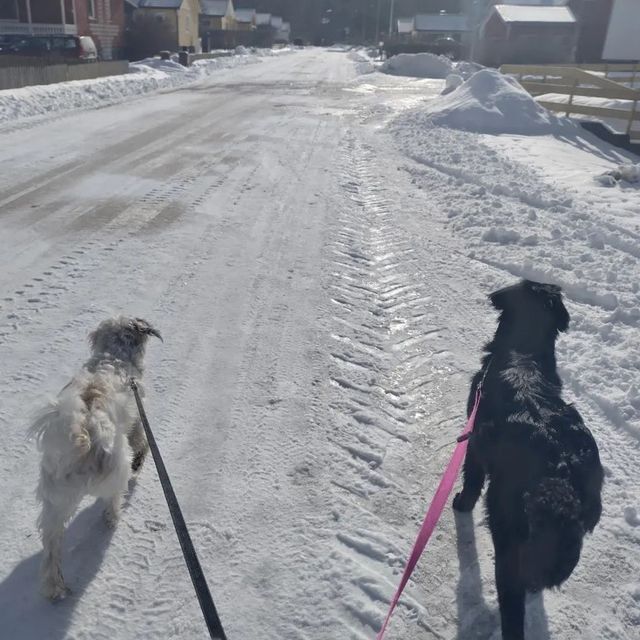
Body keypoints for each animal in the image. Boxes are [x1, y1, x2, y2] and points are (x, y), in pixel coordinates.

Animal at [29, 318, 161, 604]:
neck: (114, 356)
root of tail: (82, 433)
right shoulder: (137, 418)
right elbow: (141, 440)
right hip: (118, 464)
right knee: (113, 497)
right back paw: (113, 516)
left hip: (54, 501)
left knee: (51, 549)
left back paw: (54, 588)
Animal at [452, 280, 604, 640]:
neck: (524, 354)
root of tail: (561, 475)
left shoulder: (474, 444)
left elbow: (471, 481)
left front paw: (460, 504)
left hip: (508, 543)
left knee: (513, 607)